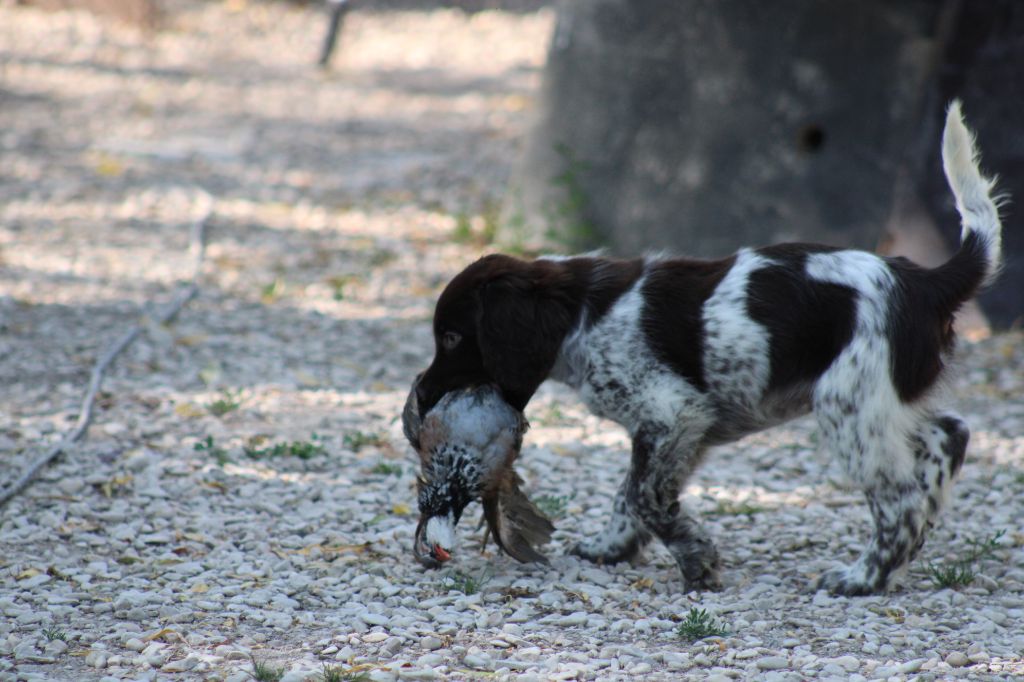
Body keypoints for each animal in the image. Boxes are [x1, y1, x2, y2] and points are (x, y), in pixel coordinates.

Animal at [411, 102, 1003, 593]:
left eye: (452, 337)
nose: (422, 397)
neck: (583, 313)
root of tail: (925, 281)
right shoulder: (677, 432)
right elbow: (632, 493)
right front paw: (612, 547)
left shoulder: (672, 415)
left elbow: (646, 497)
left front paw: (697, 561)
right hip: (884, 401)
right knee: (949, 436)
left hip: (849, 406)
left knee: (899, 500)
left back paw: (864, 577)